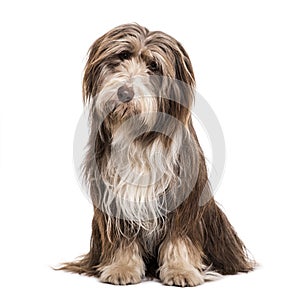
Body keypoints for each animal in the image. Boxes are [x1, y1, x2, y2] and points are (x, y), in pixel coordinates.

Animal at [60, 23, 253, 286]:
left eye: (153, 66)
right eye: (122, 56)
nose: (124, 93)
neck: (138, 134)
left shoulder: (183, 196)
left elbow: (179, 238)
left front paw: (180, 270)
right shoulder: (114, 195)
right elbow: (123, 239)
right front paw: (122, 267)